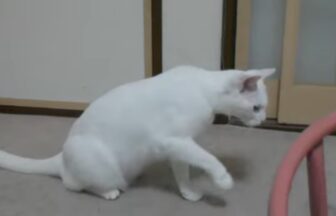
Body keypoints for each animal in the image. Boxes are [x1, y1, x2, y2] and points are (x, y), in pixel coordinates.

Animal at [0, 65, 274, 201]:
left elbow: (183, 172)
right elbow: (208, 158)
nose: (262, 120)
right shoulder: (175, 140)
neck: (203, 90)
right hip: (94, 160)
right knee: (76, 185)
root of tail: (62, 156)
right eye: (256, 108)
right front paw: (223, 179)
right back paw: (110, 191)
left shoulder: (178, 147)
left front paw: (187, 193)